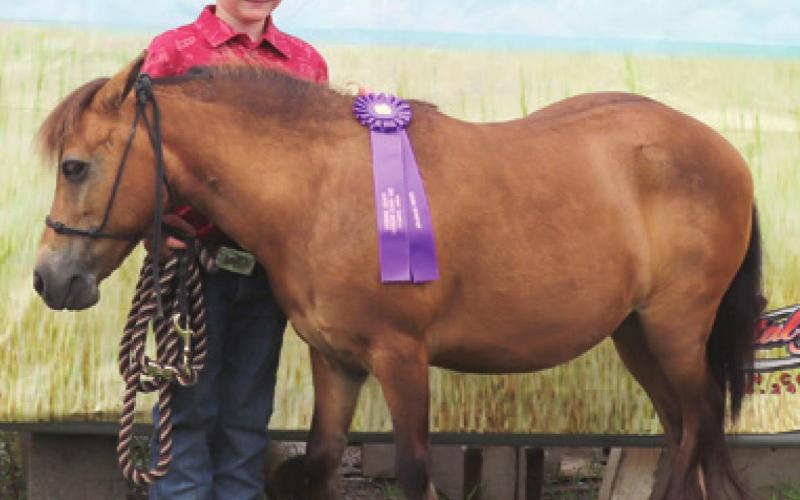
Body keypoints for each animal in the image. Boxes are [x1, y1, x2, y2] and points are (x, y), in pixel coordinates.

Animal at [33, 54, 763, 500]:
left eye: (74, 166)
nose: (48, 279)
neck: (320, 189)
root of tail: (726, 153)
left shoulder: (401, 357)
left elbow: (414, 471)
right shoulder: (336, 361)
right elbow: (321, 461)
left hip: (675, 331)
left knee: (699, 422)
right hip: (636, 335)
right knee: (683, 428)